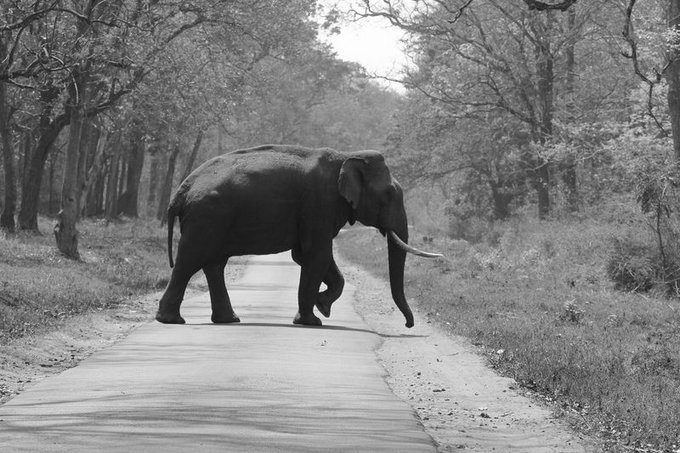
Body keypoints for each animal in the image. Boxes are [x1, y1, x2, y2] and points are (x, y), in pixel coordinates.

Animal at [155, 144, 441, 328]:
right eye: (389, 194)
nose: (409, 325)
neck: (346, 156)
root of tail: (181, 190)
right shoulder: (320, 202)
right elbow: (317, 254)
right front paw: (314, 319)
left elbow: (307, 255)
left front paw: (322, 305)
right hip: (207, 216)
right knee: (190, 261)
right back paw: (171, 320)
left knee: (214, 264)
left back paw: (228, 320)